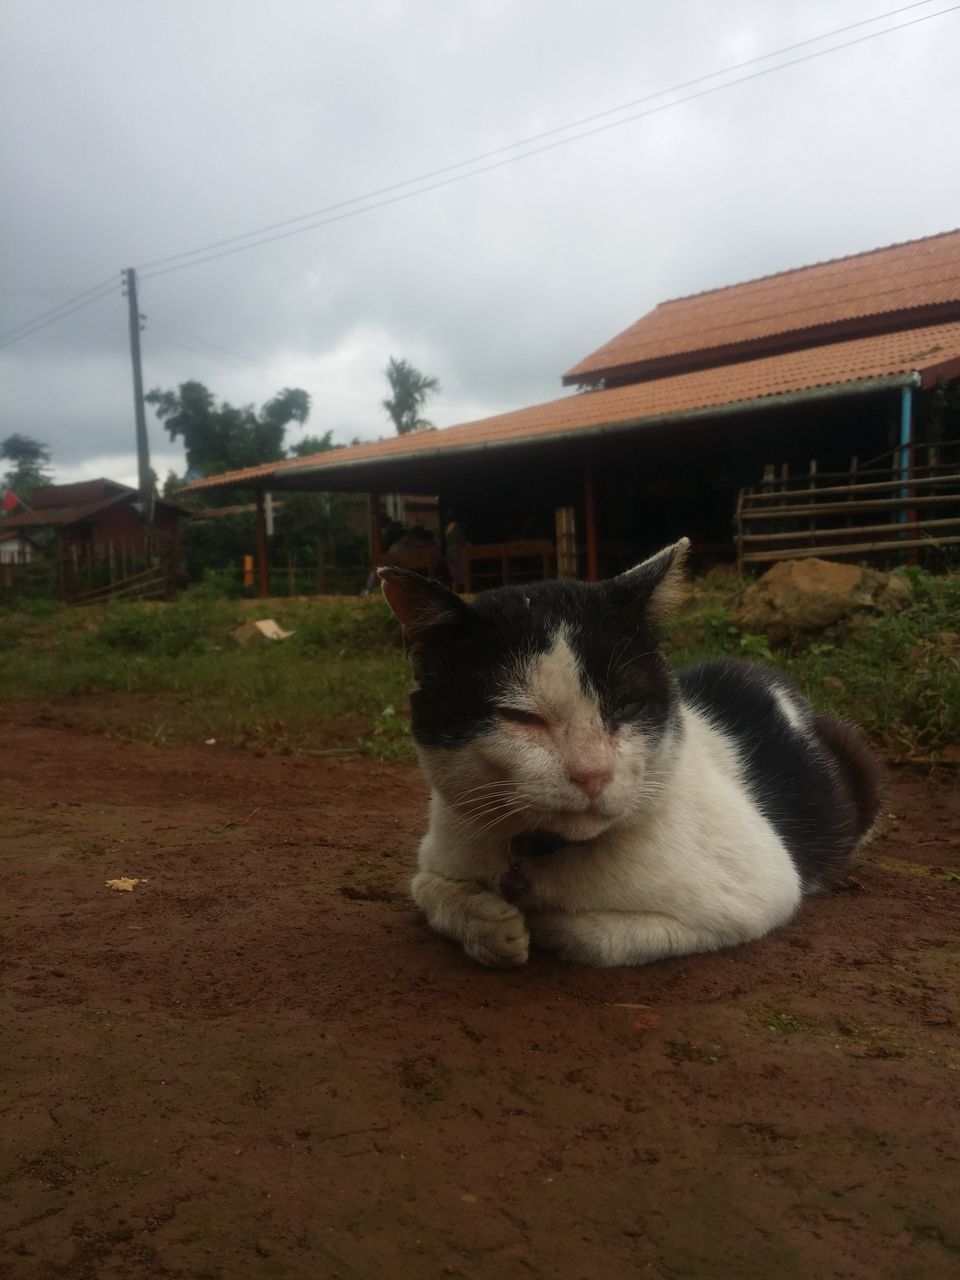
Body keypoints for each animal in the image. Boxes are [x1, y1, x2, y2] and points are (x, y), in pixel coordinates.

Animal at [378, 537, 885, 967]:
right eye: (520, 717)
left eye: (626, 706)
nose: (593, 774)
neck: (541, 853)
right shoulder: (443, 843)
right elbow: (426, 887)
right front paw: (489, 925)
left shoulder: (763, 888)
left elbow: (595, 935)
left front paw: (537, 921)